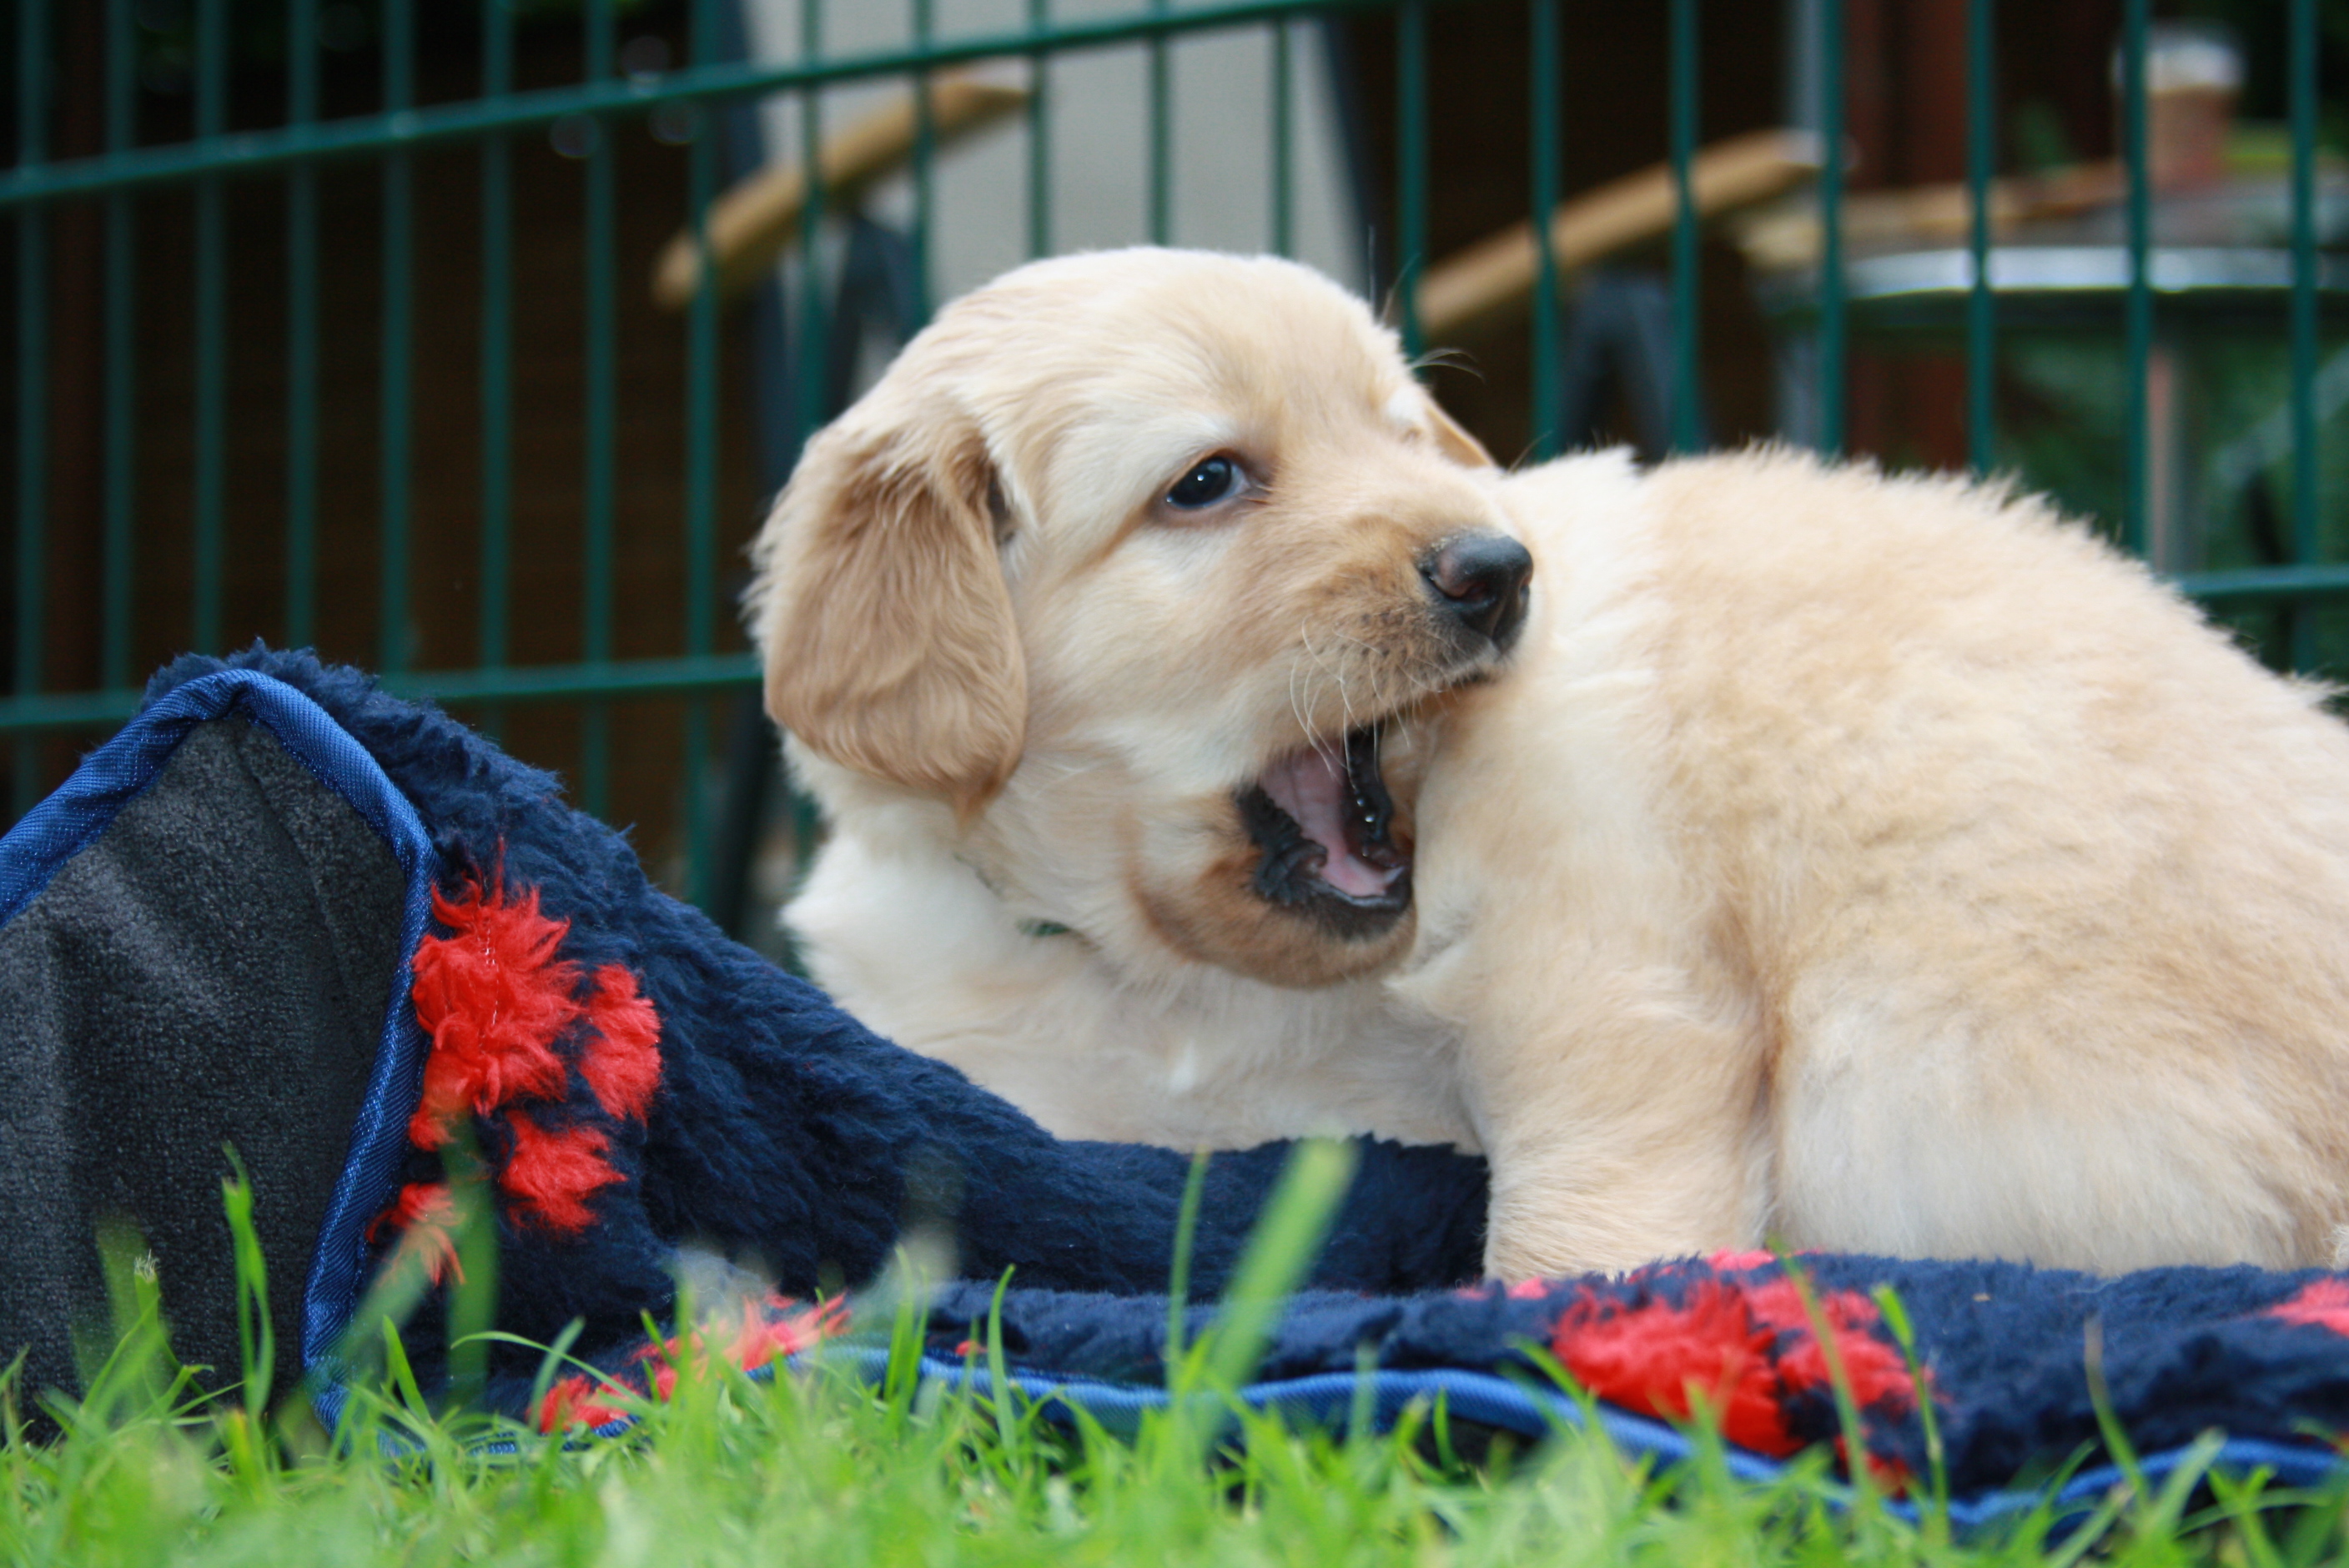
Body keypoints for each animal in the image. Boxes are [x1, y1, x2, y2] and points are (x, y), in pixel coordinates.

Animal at [748, 246, 2349, 1280]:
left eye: (1407, 438)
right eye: (1206, 482)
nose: (1497, 569)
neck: (1174, 983)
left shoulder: (1601, 998)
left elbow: (1576, 1241)